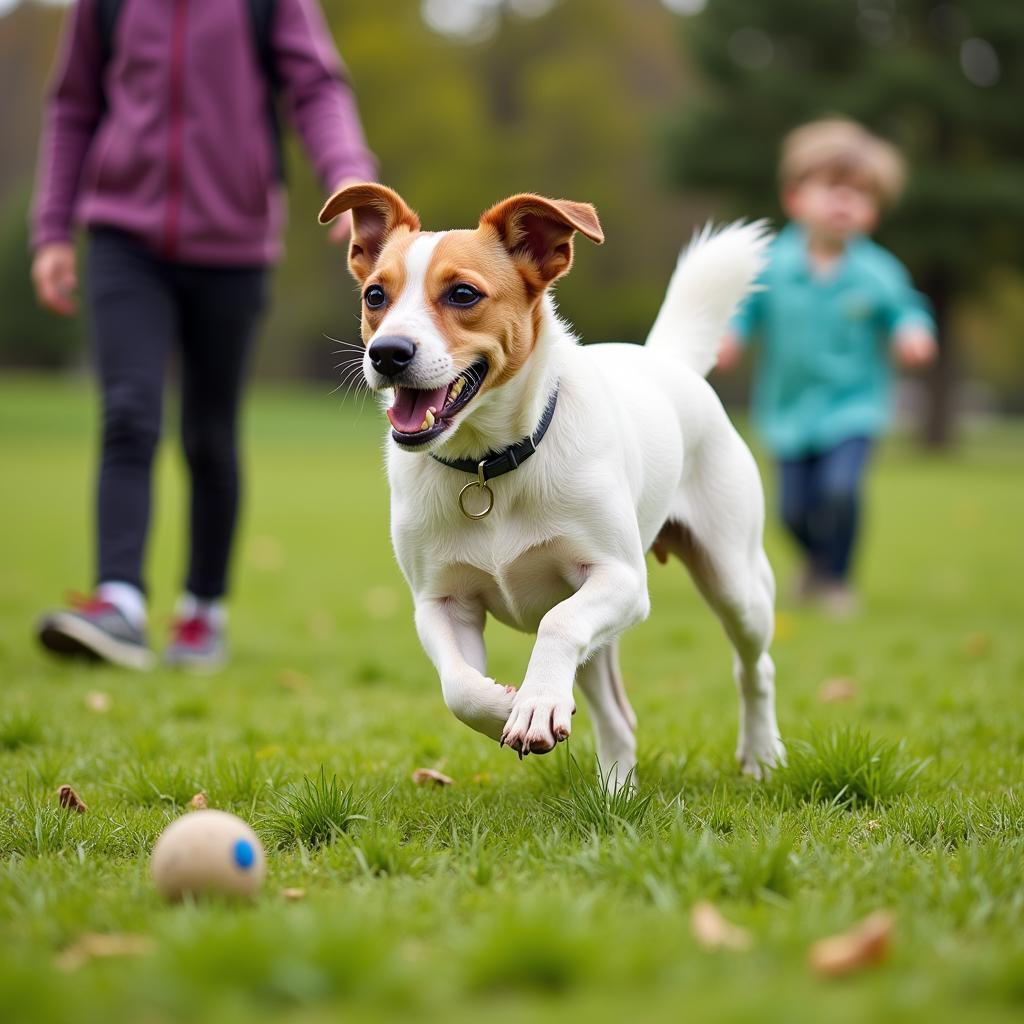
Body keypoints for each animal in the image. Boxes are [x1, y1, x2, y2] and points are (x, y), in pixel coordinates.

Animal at [319, 186, 782, 790]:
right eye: (375, 295)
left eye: (463, 294)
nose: (387, 353)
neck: (487, 466)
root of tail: (667, 360)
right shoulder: (440, 601)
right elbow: (458, 687)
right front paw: (507, 706)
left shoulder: (620, 579)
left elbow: (557, 624)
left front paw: (535, 703)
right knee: (618, 717)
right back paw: (615, 793)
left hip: (734, 580)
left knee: (754, 666)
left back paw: (760, 754)